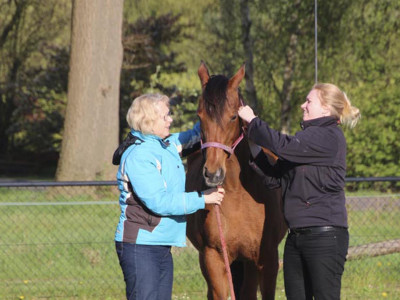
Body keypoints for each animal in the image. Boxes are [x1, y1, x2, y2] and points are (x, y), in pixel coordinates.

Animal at [186, 61, 286, 300]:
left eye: (233, 116)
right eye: (200, 116)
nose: (213, 174)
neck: (239, 192)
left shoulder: (267, 259)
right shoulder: (213, 258)